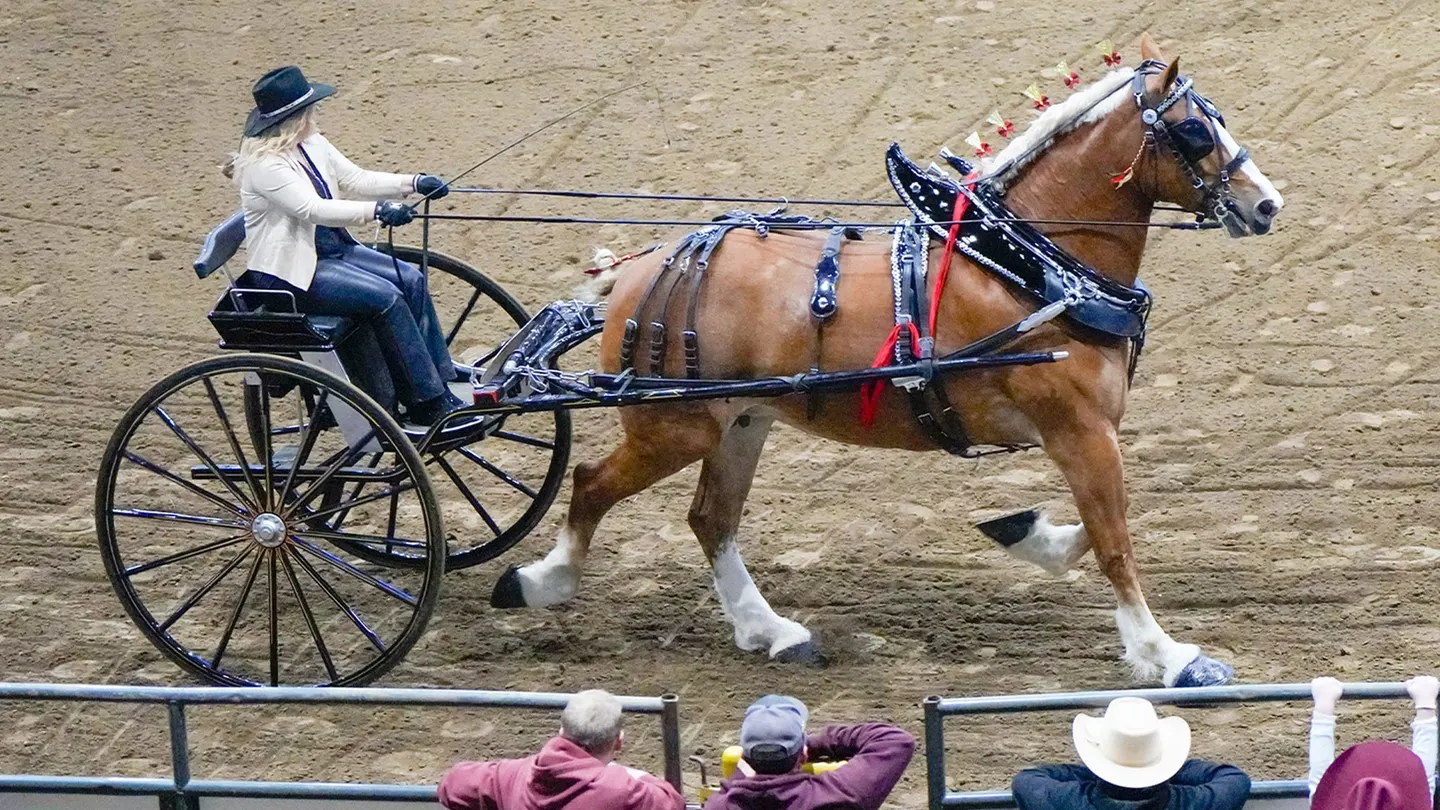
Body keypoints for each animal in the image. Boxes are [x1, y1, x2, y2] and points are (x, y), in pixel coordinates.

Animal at [489, 35, 1284, 687]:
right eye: (1194, 129)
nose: (1267, 204)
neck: (1029, 267)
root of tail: (641, 267)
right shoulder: (1081, 431)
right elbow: (1116, 538)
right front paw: (1167, 655)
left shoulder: (1086, 436)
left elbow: (1101, 525)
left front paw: (1028, 535)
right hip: (675, 428)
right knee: (593, 484)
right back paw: (542, 582)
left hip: (742, 421)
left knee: (711, 518)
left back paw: (770, 631)